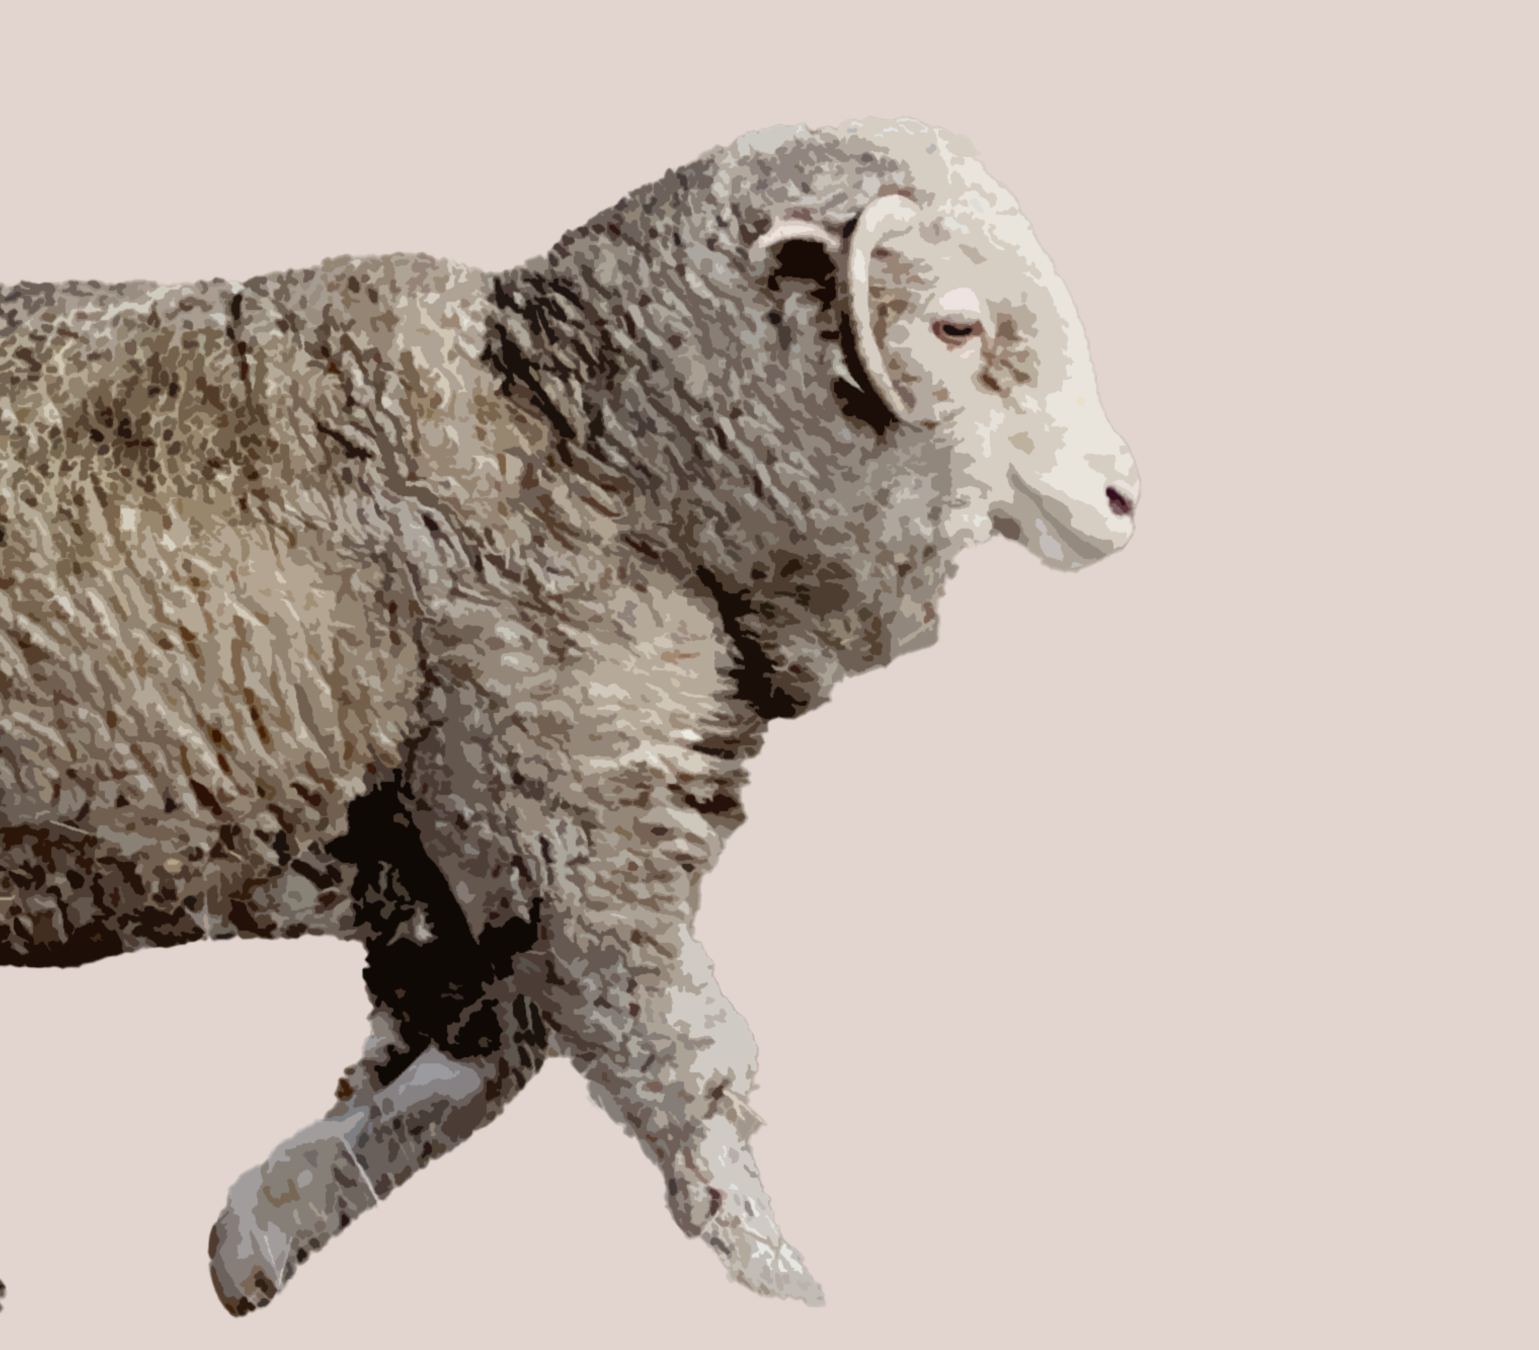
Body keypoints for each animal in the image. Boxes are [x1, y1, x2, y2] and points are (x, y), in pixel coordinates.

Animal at [0, 116, 1140, 1314]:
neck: (581, 435)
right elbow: (677, 1062)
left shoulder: (448, 842)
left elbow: (477, 1042)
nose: (1123, 497)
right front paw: (782, 1282)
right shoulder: (572, 821)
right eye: (954, 323)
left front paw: (266, 1221)